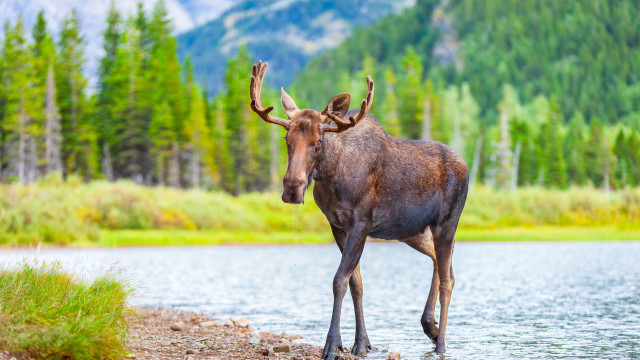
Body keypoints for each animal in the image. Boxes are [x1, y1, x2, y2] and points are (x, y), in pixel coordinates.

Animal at [248, 62, 468, 358]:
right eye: (286, 138)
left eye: (318, 142)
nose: (292, 188)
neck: (332, 177)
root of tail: (466, 166)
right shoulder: (337, 225)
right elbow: (356, 283)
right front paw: (361, 342)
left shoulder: (361, 223)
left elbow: (339, 280)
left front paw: (332, 345)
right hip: (414, 231)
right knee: (441, 264)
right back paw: (430, 327)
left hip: (447, 223)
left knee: (447, 280)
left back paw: (441, 342)